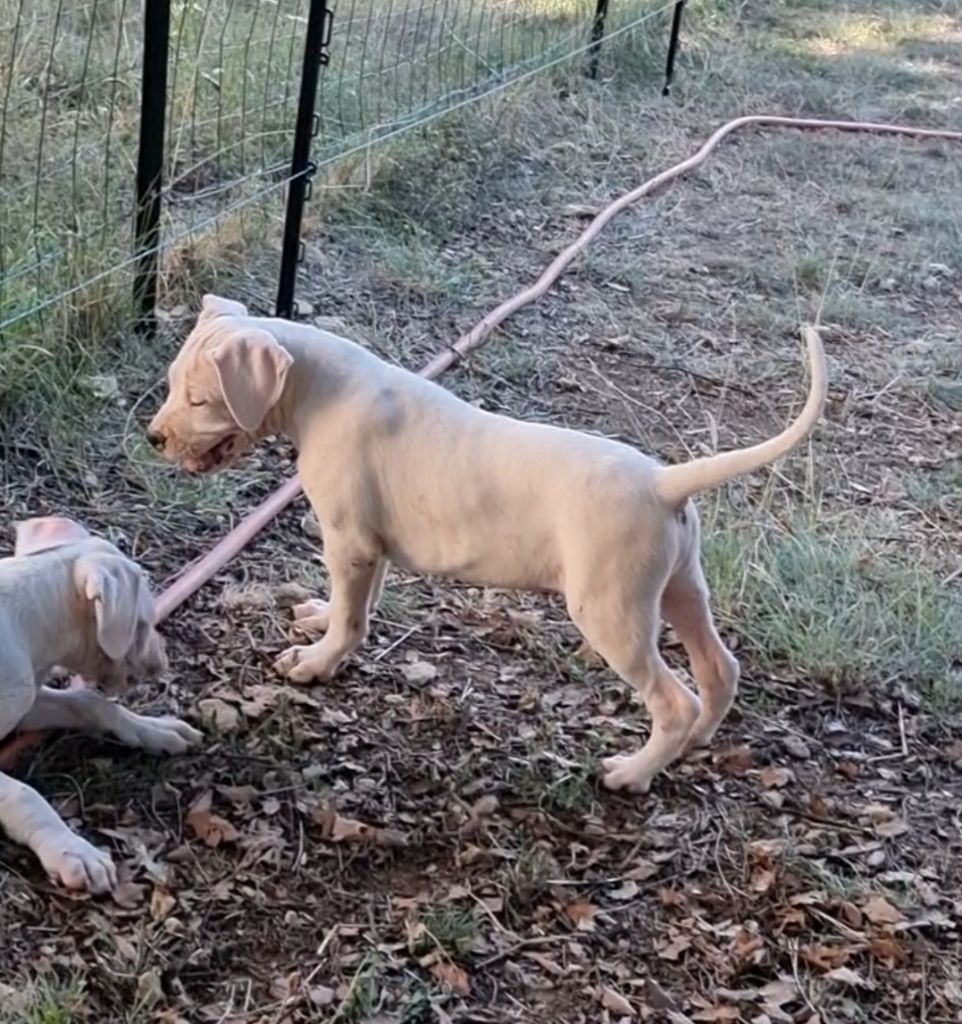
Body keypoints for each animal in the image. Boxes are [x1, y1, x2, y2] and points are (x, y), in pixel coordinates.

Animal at [0, 516, 200, 892]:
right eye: (143, 623)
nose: (162, 660)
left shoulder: (26, 702)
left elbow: (90, 701)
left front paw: (155, 729)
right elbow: (23, 794)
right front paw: (73, 851)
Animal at [150, 294, 827, 790]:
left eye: (200, 399)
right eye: (172, 383)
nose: (154, 437)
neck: (320, 389)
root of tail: (663, 482)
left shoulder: (350, 541)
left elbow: (349, 619)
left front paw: (315, 663)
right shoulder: (369, 547)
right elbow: (353, 608)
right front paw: (320, 619)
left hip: (612, 611)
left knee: (673, 699)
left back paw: (632, 774)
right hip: (680, 589)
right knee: (719, 667)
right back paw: (696, 741)